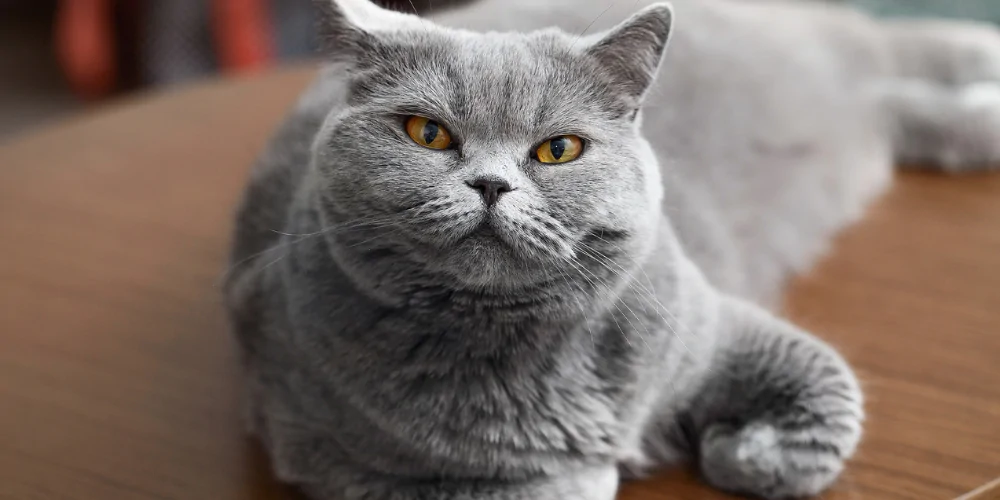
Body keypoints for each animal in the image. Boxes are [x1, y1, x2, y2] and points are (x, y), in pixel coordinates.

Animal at [225, 0, 1000, 498]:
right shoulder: (345, 463)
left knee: (900, 46)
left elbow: (829, 394)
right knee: (894, 100)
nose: (490, 184)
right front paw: (600, 465)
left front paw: (740, 453)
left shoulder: (715, 326)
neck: (525, 354)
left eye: (558, 150)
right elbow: (534, 486)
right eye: (428, 134)